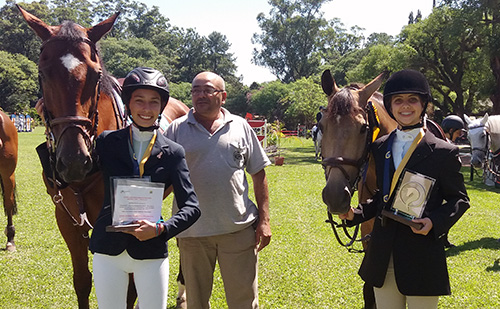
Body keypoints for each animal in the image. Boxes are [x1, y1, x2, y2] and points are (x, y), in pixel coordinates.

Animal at [18, 5, 188, 308]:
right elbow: (83, 281)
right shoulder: (68, 222)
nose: (74, 161)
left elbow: (130, 287)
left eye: (96, 75)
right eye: (42, 73)